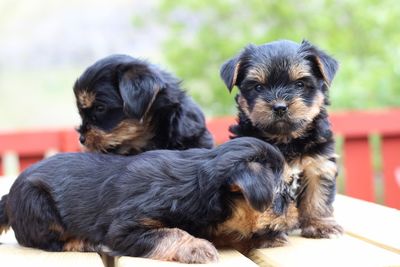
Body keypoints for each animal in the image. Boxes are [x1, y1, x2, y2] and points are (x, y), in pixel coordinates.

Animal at [0, 138, 298, 264]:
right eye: (283, 195)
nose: (296, 213)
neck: (197, 185)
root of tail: (9, 198)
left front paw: (265, 238)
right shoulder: (124, 228)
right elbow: (170, 232)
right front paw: (196, 247)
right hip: (36, 205)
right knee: (50, 241)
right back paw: (85, 242)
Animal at [220, 39, 342, 239]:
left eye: (299, 84)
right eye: (258, 87)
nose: (279, 107)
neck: (285, 139)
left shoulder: (319, 164)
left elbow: (318, 195)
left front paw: (319, 224)